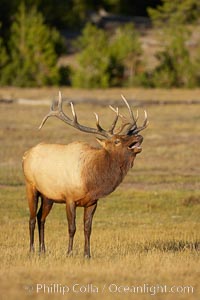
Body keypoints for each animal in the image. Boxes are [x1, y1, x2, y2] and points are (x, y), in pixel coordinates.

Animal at [22, 92, 148, 258]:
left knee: (40, 218)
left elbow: (88, 228)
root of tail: (25, 154)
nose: (139, 137)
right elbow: (72, 227)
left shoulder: (92, 202)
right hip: (30, 186)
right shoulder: (69, 198)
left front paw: (87, 254)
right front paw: (69, 252)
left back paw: (43, 250)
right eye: (117, 140)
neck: (91, 181)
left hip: (48, 195)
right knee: (31, 218)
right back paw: (31, 250)